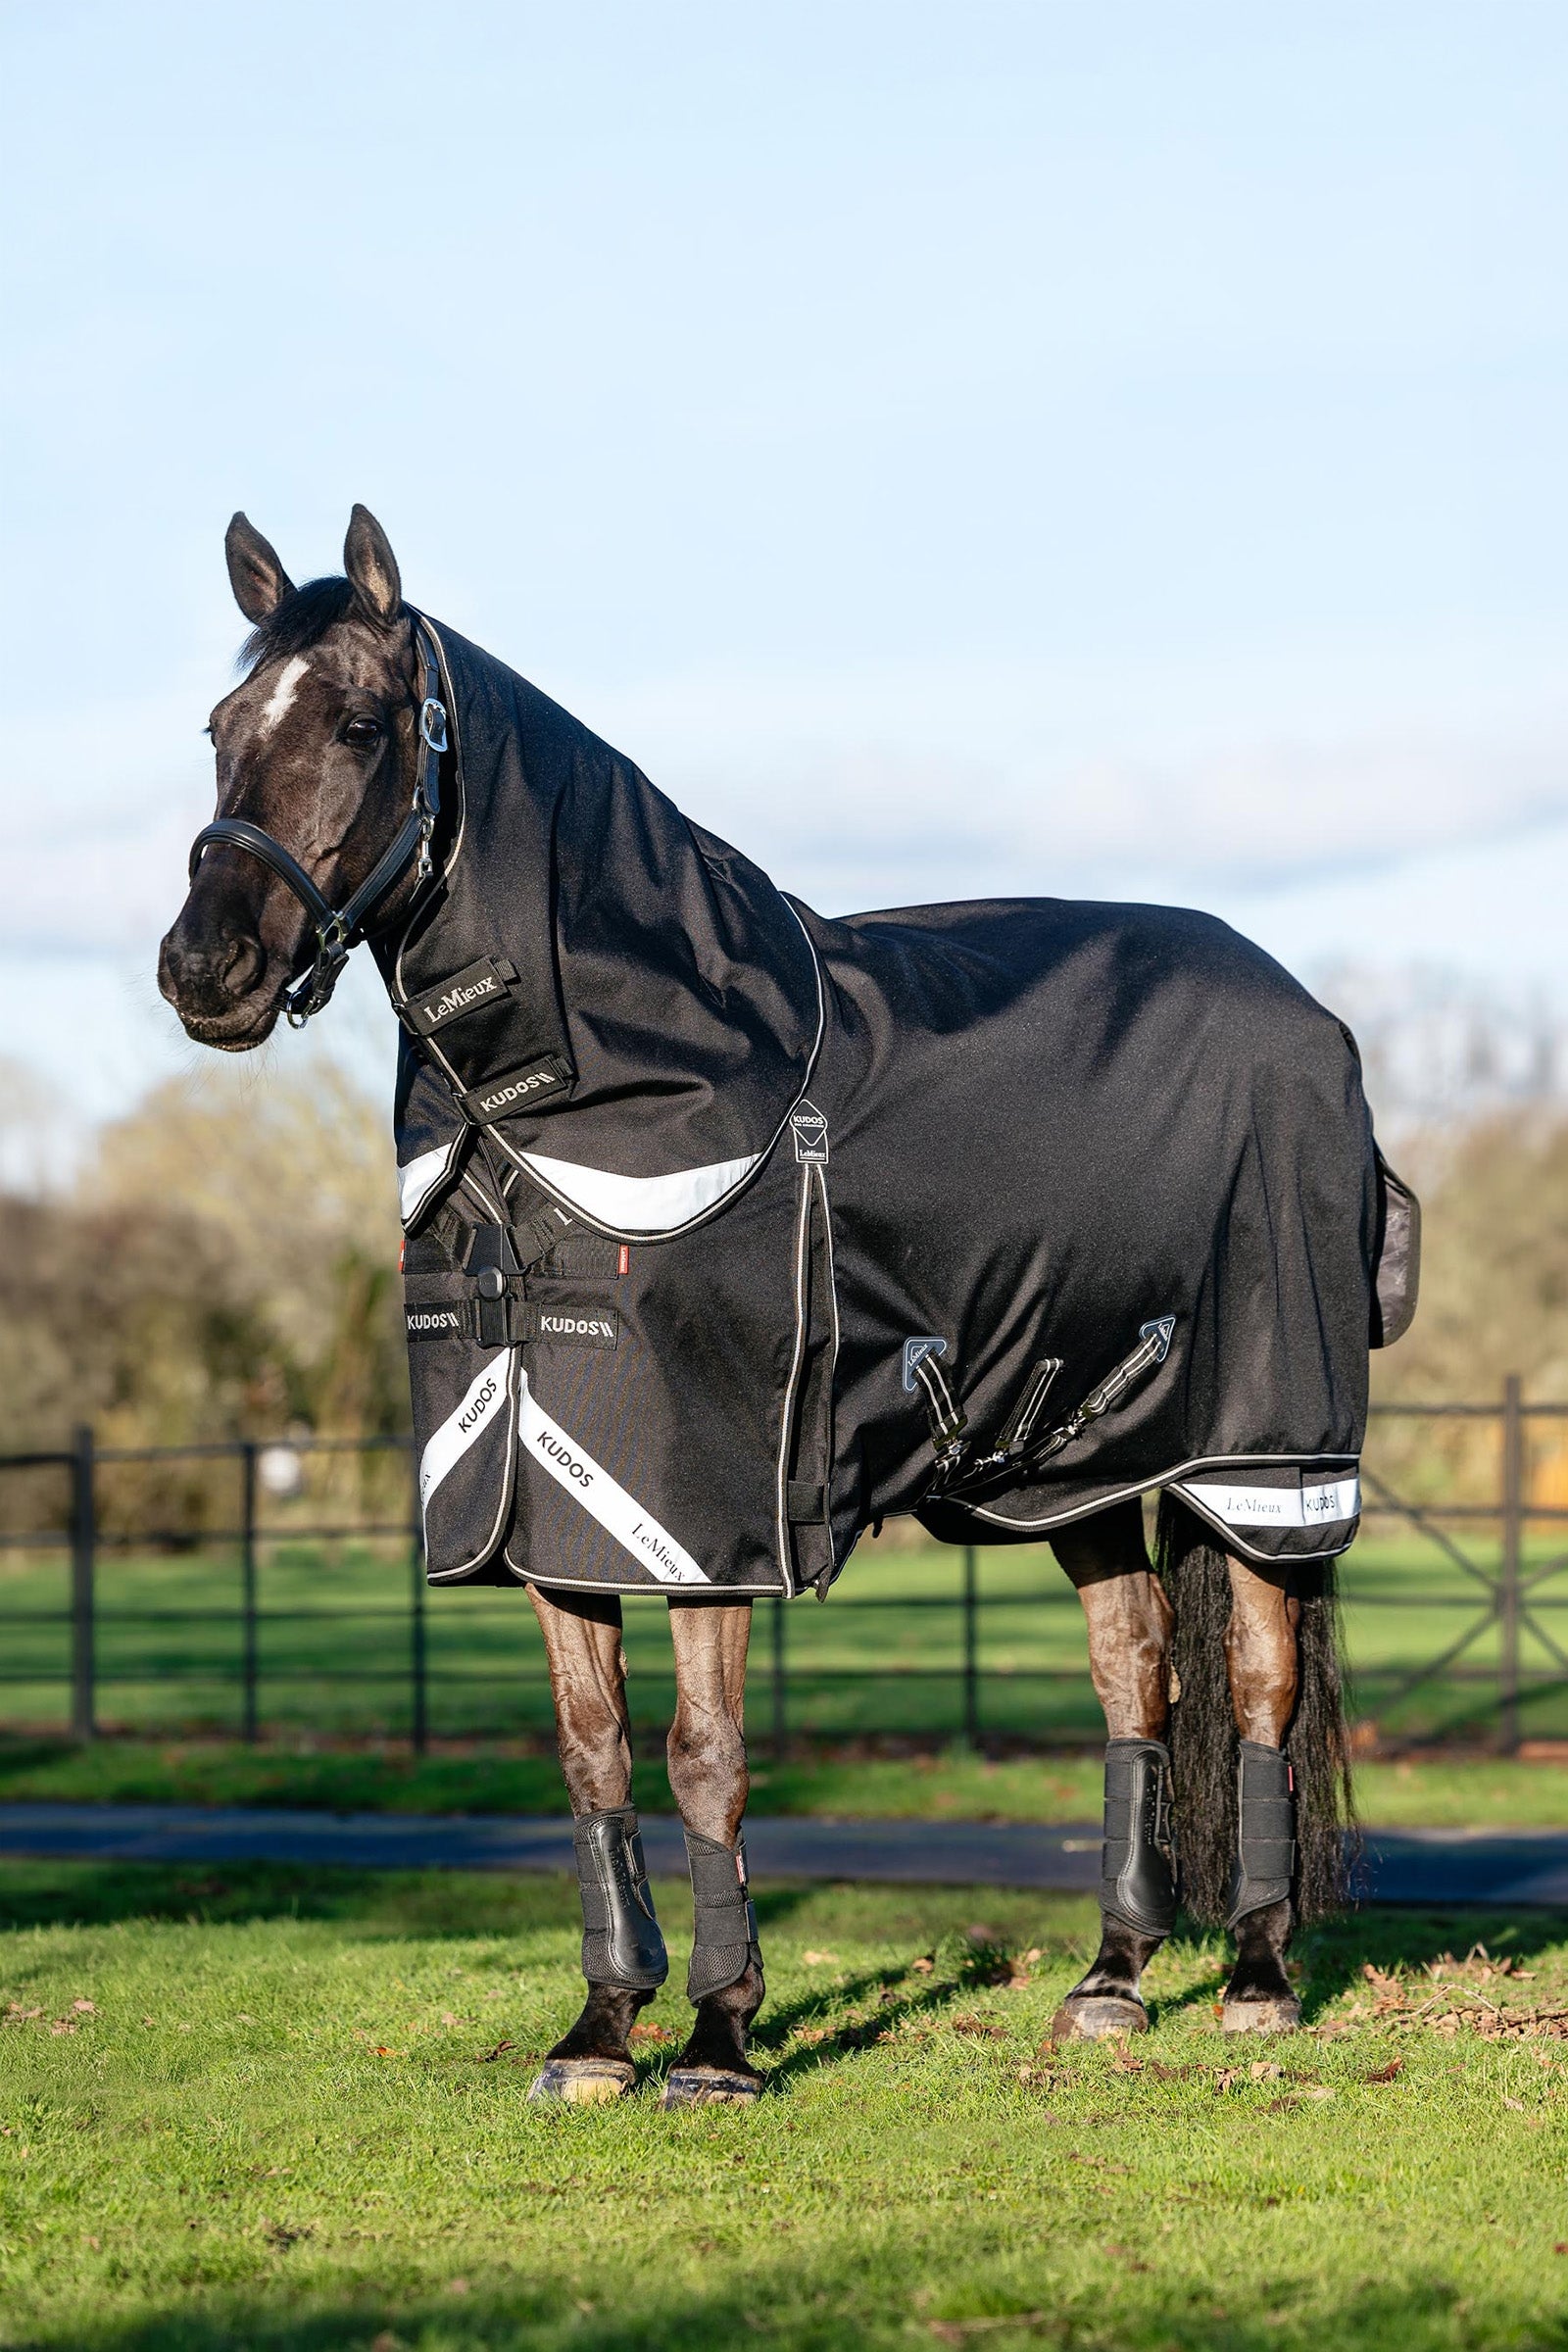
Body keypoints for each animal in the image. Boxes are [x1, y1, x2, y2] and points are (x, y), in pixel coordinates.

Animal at [159, 505, 1418, 2106]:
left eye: (363, 725)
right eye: (219, 729)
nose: (203, 968)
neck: (618, 1075)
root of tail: (1315, 1022)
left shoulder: (704, 1514)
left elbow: (704, 1755)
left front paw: (718, 2038)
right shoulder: (545, 1505)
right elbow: (591, 1754)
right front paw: (599, 2032)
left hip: (1260, 1455)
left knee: (1257, 1681)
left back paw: (1255, 1975)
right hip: (1070, 1461)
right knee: (1135, 1676)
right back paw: (1112, 1979)